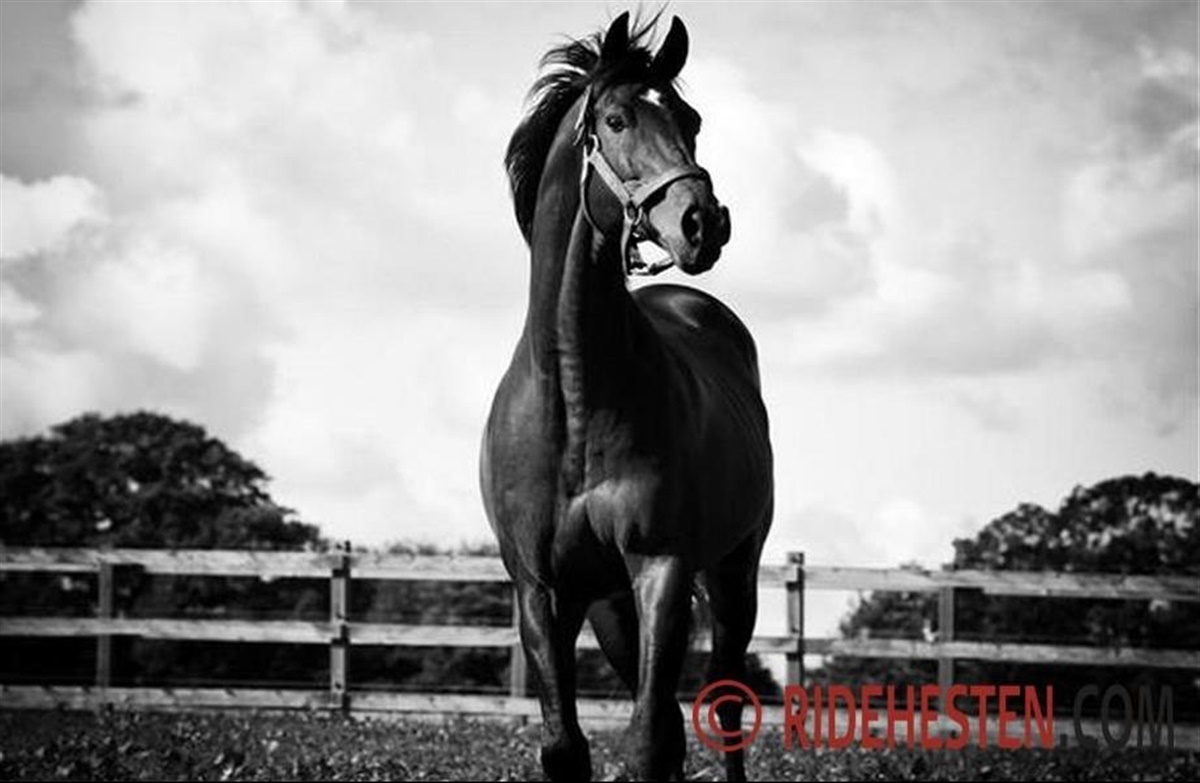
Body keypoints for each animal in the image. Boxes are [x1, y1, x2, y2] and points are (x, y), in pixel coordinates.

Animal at [480, 12, 773, 781]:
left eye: (692, 121)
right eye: (615, 119)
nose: (704, 222)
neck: (576, 397)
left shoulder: (661, 571)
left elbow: (647, 739)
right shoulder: (542, 589)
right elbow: (568, 746)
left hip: (734, 574)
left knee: (720, 707)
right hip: (611, 609)